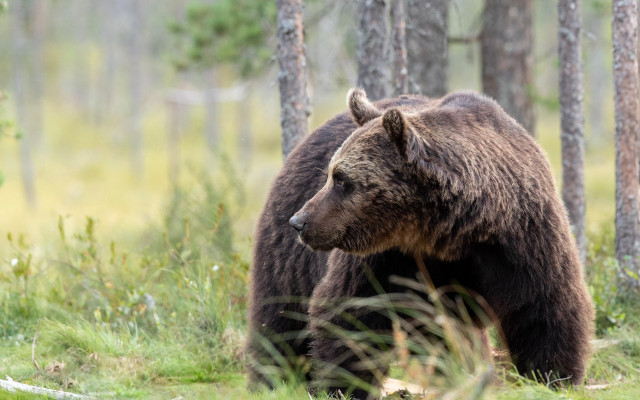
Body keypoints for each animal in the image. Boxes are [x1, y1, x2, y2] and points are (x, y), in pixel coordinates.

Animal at [246, 88, 594, 399]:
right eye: (332, 175)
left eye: (342, 180)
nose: (300, 221)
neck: (449, 234)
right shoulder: (387, 257)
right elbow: (352, 312)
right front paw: (344, 386)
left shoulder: (521, 241)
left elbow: (543, 308)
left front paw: (550, 377)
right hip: (289, 255)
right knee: (280, 315)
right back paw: (273, 379)